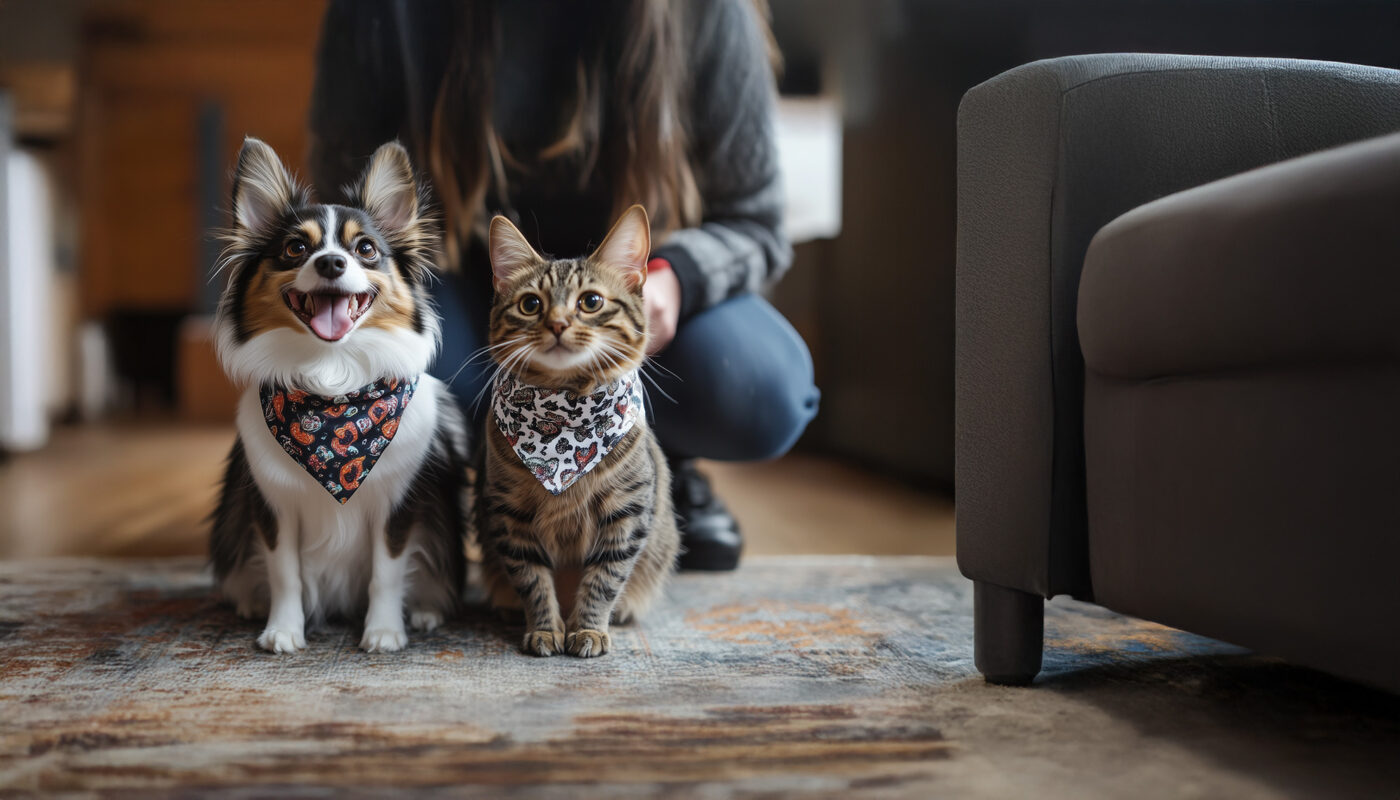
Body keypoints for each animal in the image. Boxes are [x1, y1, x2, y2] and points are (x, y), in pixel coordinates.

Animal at [208, 135, 470, 650]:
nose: (331, 262)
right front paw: (283, 630)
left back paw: (426, 611)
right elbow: (284, 573)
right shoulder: (274, 506)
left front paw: (384, 631)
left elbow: (386, 573)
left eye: (365, 248)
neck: (333, 386)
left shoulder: (398, 506)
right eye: (295, 248)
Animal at [478, 204, 680, 658]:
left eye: (591, 302)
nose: (556, 323)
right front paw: (544, 629)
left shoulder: (627, 512)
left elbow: (603, 580)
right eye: (530, 304)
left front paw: (588, 628)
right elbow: (532, 580)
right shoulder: (510, 514)